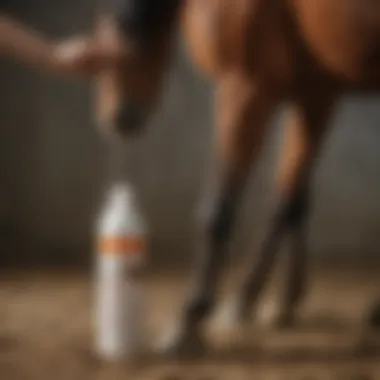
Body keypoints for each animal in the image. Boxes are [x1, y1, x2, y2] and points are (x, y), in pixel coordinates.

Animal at [84, 0, 380, 356]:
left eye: (108, 46)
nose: (116, 118)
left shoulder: (244, 85)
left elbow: (220, 211)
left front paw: (190, 319)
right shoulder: (316, 93)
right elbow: (291, 200)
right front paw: (271, 300)